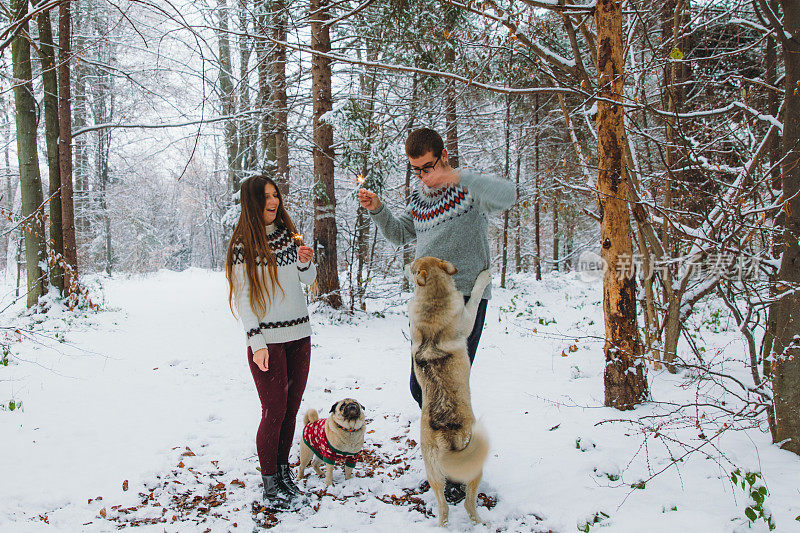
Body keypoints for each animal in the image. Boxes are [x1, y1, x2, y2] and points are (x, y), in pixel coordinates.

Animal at [410, 256, 490, 524]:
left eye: (413, 265)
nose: (406, 265)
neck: (434, 298)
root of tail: (446, 436)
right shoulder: (467, 317)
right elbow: (475, 296)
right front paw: (485, 277)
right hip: (475, 468)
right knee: (468, 504)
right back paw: (480, 522)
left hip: (433, 473)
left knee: (443, 508)